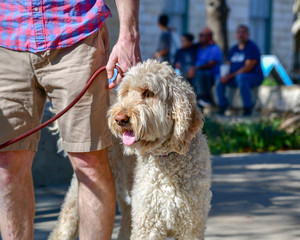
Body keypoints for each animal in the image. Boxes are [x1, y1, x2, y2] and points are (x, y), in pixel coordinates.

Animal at [48, 59, 211, 239]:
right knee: (61, 229)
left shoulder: (191, 227)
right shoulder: (148, 224)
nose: (120, 119)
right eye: (126, 92)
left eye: (148, 93)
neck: (167, 157)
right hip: (80, 194)